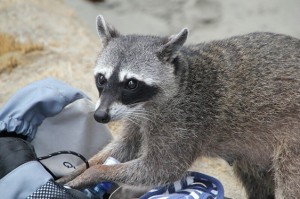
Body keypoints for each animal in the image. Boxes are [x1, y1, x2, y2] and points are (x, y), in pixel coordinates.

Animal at [59, 15, 300, 199]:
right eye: (102, 79)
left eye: (131, 83)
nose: (100, 116)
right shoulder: (136, 116)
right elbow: (125, 147)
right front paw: (81, 168)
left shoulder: (184, 123)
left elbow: (161, 168)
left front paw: (95, 173)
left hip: (292, 142)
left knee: (290, 179)